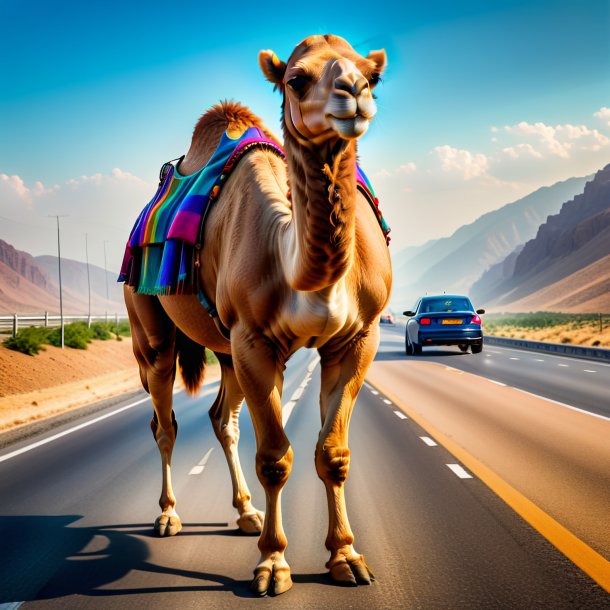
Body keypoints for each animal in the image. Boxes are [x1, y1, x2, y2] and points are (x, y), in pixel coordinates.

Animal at [123, 34, 390, 592]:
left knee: (221, 418)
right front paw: (272, 565)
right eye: (296, 79)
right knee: (165, 420)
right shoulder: (255, 342)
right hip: (150, 328)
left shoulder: (357, 338)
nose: (353, 93)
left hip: (226, 349)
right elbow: (275, 457)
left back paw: (245, 512)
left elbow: (332, 454)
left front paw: (346, 558)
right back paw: (168, 514)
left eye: (372, 76)